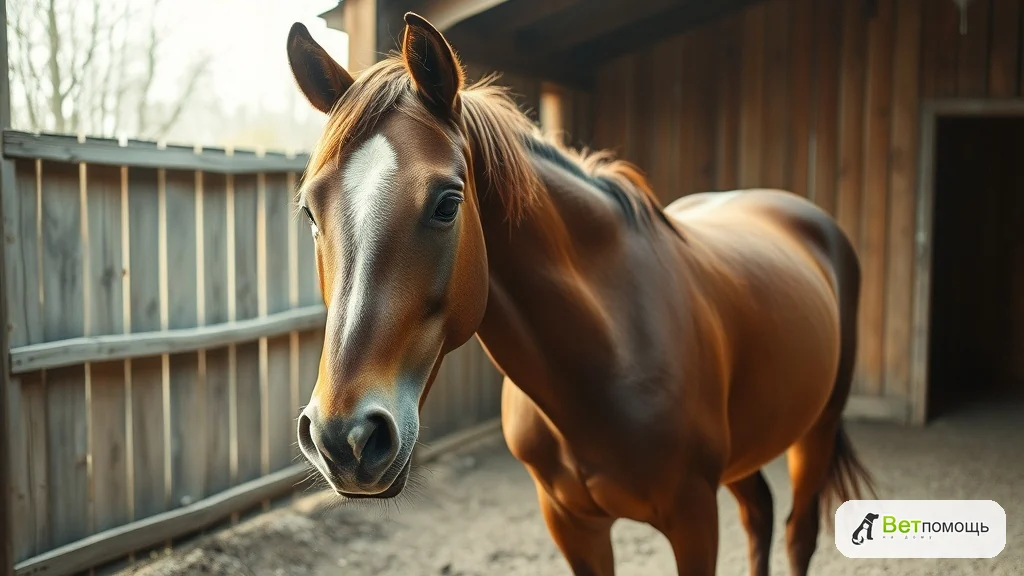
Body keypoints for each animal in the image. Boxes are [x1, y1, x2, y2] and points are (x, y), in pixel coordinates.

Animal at [285, 13, 874, 576]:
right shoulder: (571, 523)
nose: (343, 438)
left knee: (798, 533)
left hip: (817, 430)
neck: (609, 349)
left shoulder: (693, 516)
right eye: (310, 210)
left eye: (447, 203)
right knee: (760, 513)